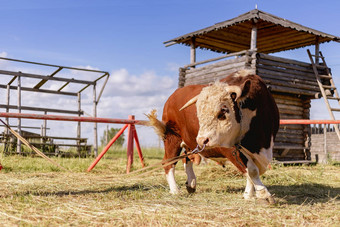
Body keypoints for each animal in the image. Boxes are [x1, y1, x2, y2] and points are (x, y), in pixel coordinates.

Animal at [147, 69, 278, 204]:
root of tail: (173, 96)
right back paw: (175, 190)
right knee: (168, 162)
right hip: (172, 138)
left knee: (186, 158)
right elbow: (252, 170)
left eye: (223, 111)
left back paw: (191, 183)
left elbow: (252, 171)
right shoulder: (230, 148)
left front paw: (249, 194)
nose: (201, 140)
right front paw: (263, 194)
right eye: (198, 114)